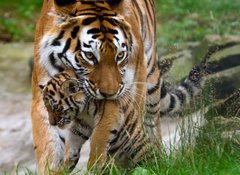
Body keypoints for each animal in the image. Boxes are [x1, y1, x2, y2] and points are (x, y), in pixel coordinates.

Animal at [31, 0, 204, 174]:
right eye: (89, 56)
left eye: (120, 55)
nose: (110, 94)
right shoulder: (43, 100)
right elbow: (51, 146)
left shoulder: (126, 97)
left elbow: (104, 137)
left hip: (151, 82)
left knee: (151, 127)